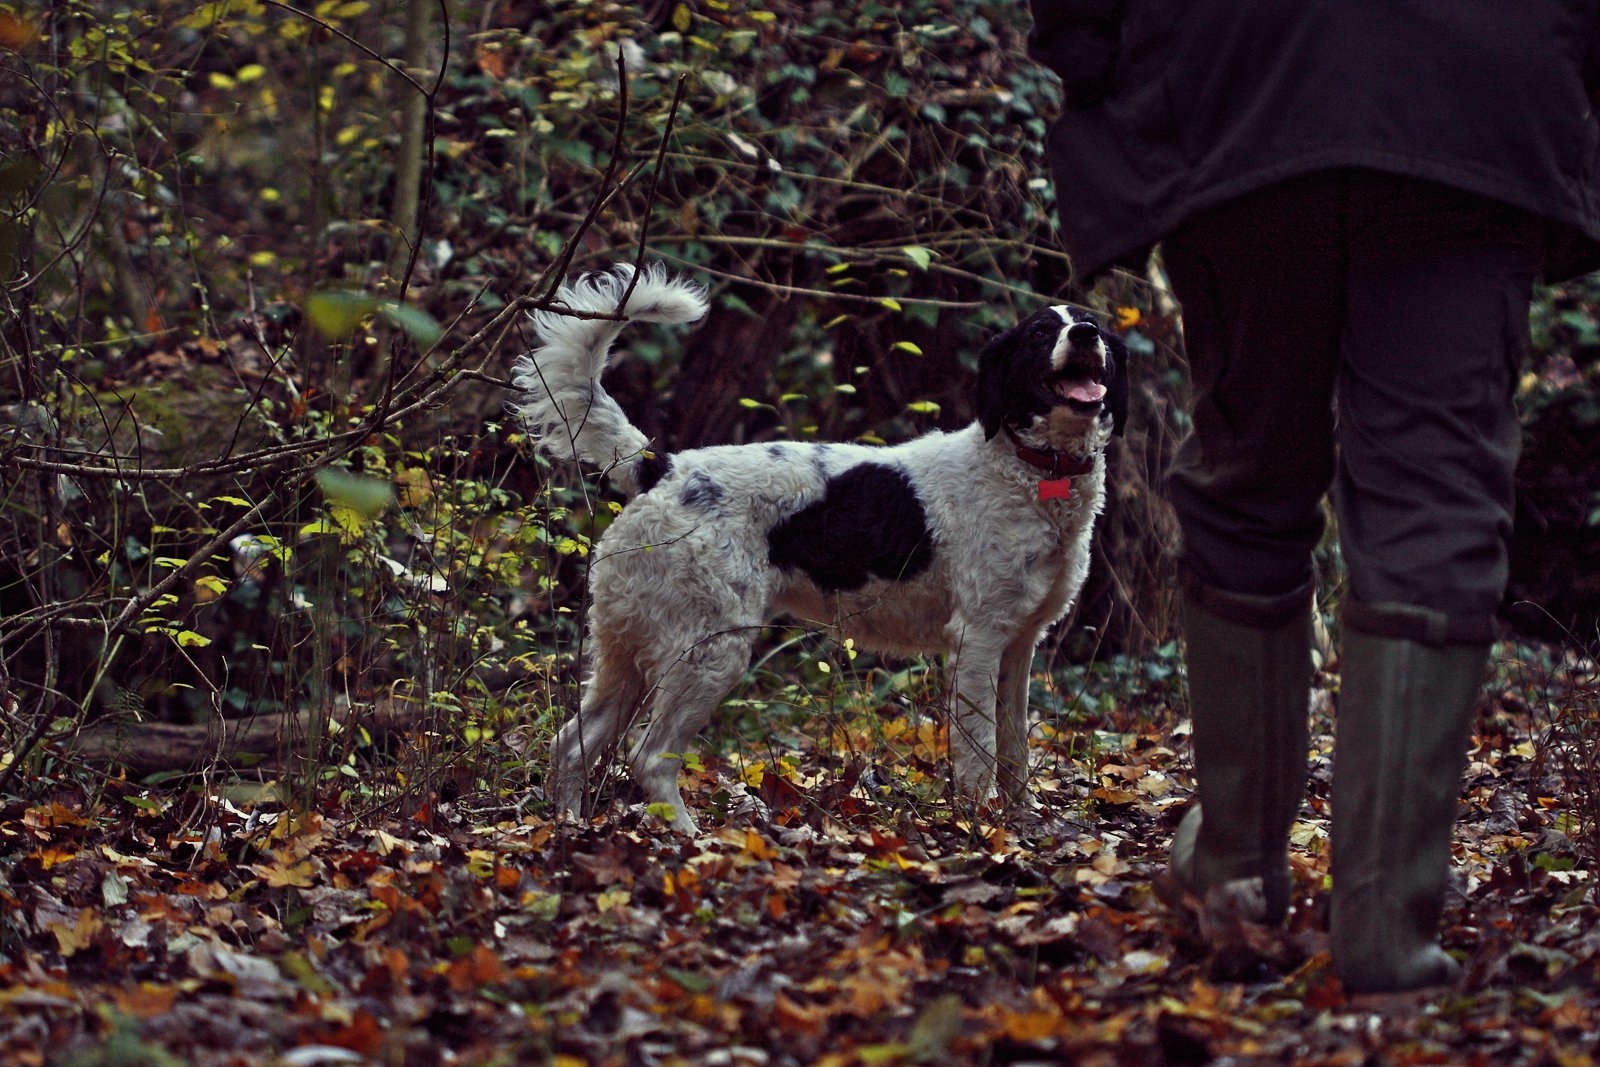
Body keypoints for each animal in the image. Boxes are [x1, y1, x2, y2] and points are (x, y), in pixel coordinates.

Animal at [512, 262, 1126, 831]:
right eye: (1040, 333)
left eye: (1089, 324)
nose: (1085, 334)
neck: (1029, 470)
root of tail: (661, 465)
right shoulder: (977, 642)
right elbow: (979, 755)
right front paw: (982, 826)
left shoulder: (1019, 648)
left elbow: (1016, 750)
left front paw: (1026, 821)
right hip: (710, 651)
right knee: (649, 757)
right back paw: (691, 839)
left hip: (626, 654)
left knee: (572, 743)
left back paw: (569, 825)